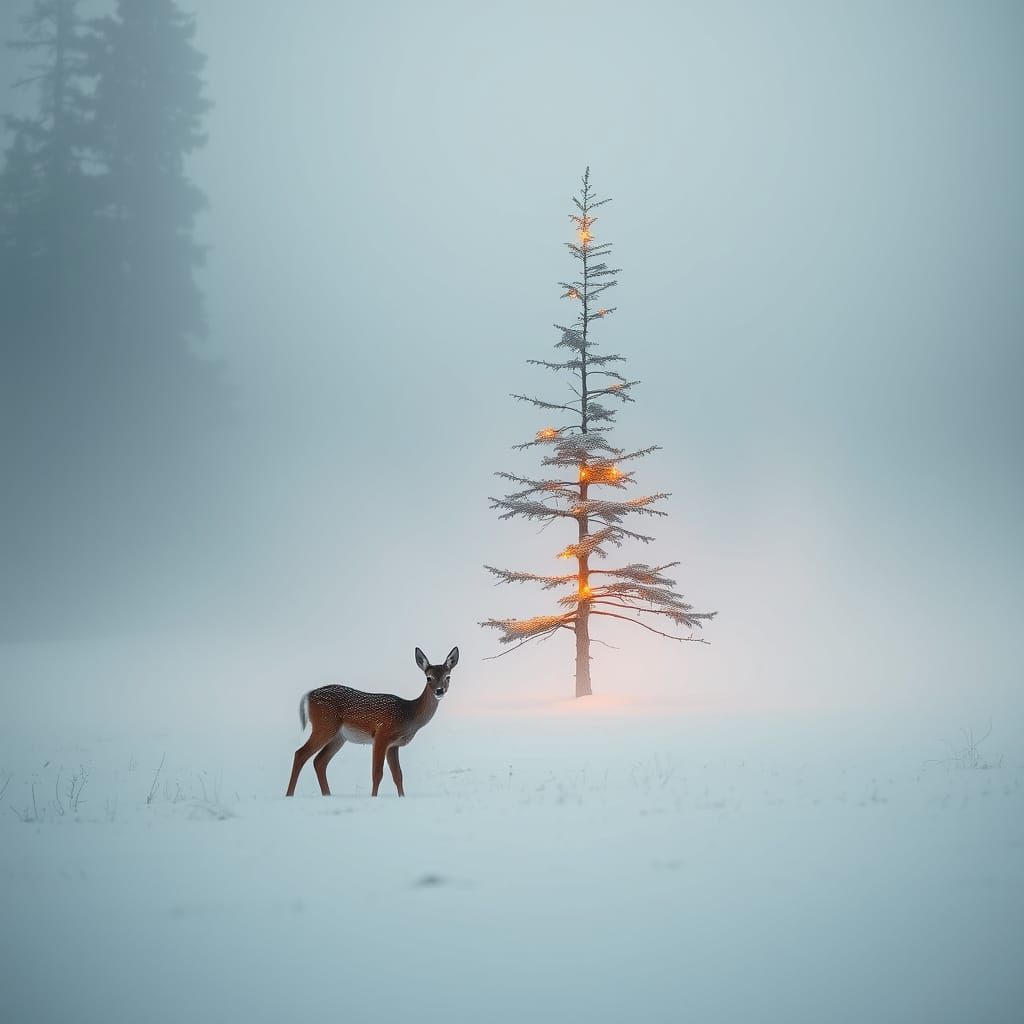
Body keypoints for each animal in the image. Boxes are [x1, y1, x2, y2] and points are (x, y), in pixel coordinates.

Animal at [285, 646, 459, 798]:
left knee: (319, 761)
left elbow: (398, 775)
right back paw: (289, 795)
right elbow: (377, 773)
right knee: (300, 754)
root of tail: (309, 695)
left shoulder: (393, 745)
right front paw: (374, 798)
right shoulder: (382, 735)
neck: (409, 714)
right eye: (428, 678)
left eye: (448, 677)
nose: (439, 691)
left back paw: (327, 795)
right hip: (325, 725)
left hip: (339, 737)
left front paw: (402, 798)